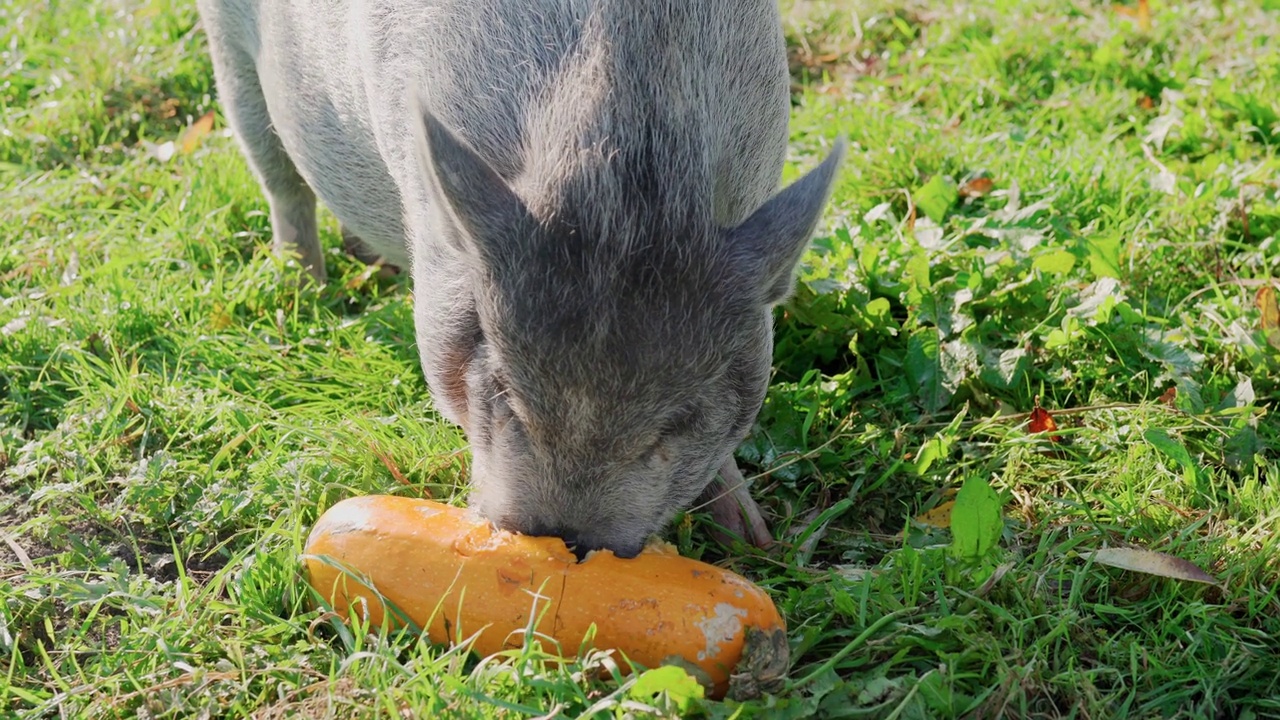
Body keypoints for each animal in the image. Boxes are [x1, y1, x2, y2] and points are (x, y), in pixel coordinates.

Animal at [194, 0, 844, 558]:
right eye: (506, 389)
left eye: (677, 421)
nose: (565, 541)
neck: (620, 181)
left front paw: (755, 542)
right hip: (231, 58)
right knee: (280, 180)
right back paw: (301, 291)